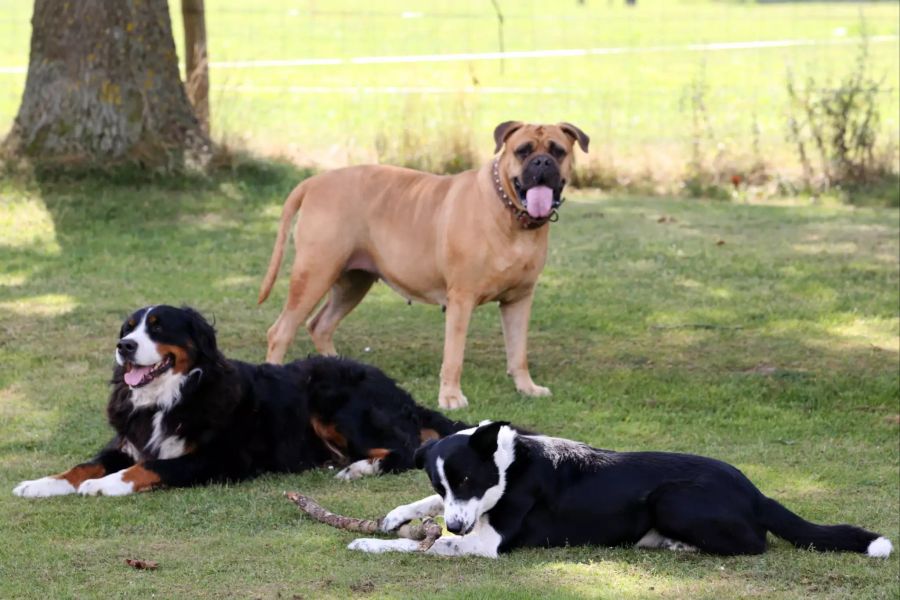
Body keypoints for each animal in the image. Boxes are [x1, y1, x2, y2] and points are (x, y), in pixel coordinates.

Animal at [12, 304, 472, 496]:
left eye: (157, 327)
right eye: (128, 328)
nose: (124, 346)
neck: (170, 397)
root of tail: (398, 390)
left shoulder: (217, 458)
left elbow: (149, 468)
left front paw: (103, 485)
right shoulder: (127, 442)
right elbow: (83, 464)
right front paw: (41, 483)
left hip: (331, 399)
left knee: (407, 449)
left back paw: (358, 469)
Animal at [256, 119, 588, 410]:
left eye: (558, 150)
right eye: (523, 151)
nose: (542, 163)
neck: (511, 214)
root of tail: (314, 182)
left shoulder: (519, 300)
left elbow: (518, 352)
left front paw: (526, 388)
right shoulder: (461, 300)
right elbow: (454, 356)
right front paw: (451, 397)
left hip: (353, 281)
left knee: (321, 325)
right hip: (315, 273)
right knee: (281, 331)